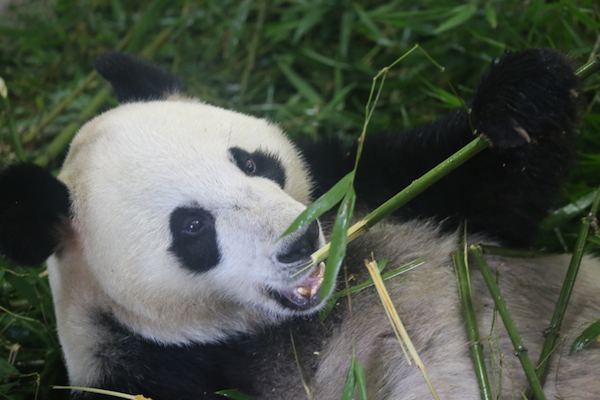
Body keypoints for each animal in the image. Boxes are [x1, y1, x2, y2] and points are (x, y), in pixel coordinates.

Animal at [1, 48, 600, 398]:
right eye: (192, 228)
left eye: (250, 163)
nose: (303, 242)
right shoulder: (150, 373)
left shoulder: (360, 191)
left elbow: (484, 196)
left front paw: (523, 97)